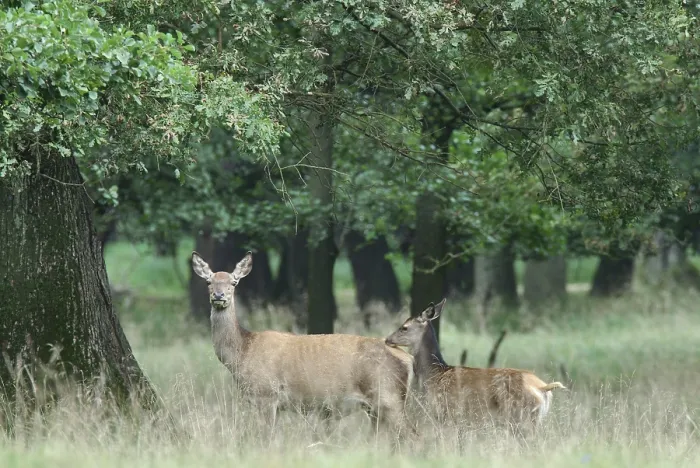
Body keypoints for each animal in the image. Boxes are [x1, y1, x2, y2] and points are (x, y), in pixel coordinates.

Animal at [191, 250, 416, 440]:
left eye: (234, 282)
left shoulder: (266, 394)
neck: (243, 352)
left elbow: (265, 438)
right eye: (208, 281)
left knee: (411, 435)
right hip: (377, 406)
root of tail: (409, 359)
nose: (219, 296)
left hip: (387, 396)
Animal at [384, 298, 565, 432]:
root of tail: (543, 387)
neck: (435, 375)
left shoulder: (447, 414)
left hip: (521, 417)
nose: (387, 339)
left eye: (404, 327)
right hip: (534, 419)